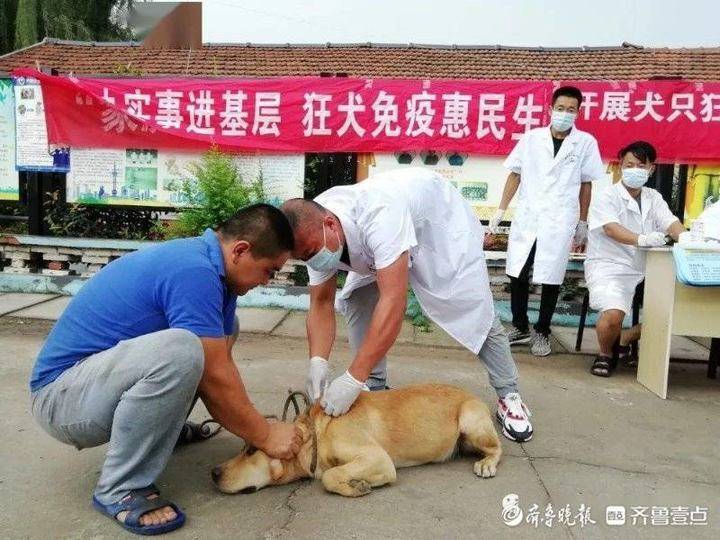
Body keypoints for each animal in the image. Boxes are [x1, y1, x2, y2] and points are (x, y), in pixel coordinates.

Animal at [211, 384, 504, 498]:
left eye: (252, 451)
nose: (213, 472)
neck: (316, 436)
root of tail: (470, 394)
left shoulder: (378, 459)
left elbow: (330, 477)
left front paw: (356, 485)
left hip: (471, 420)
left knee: (497, 448)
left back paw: (487, 463)